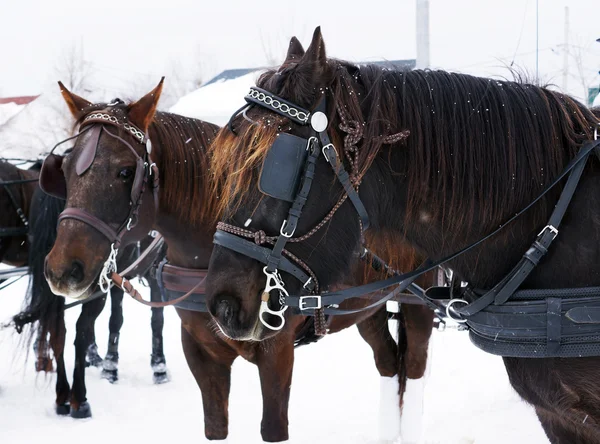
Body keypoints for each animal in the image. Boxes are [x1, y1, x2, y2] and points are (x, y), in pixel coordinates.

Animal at [43, 82, 436, 440]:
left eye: (125, 172)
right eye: (64, 170)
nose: (63, 270)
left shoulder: (277, 353)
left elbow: (273, 427)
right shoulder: (201, 353)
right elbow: (216, 425)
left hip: (419, 297)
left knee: (414, 366)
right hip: (367, 305)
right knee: (388, 363)